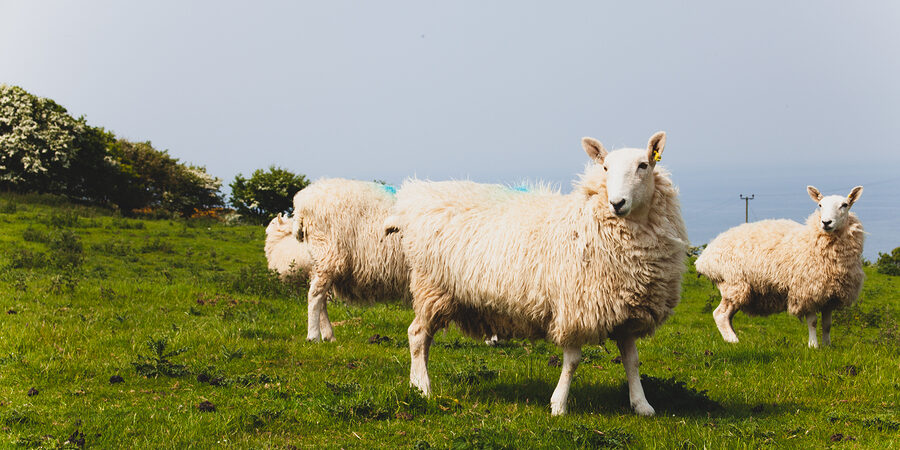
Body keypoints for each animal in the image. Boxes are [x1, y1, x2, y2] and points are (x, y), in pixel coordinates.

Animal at [293, 179, 410, 342]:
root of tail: (301, 203)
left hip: (319, 259)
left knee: (321, 297)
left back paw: (328, 336)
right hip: (328, 255)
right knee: (315, 295)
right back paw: (313, 336)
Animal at [384, 132, 688, 416]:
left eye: (643, 165)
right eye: (605, 168)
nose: (617, 202)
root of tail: (415, 198)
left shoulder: (624, 311)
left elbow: (632, 361)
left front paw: (642, 405)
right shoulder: (574, 306)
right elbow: (573, 361)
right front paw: (559, 405)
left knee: (422, 338)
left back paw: (415, 384)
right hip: (431, 287)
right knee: (418, 335)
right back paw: (423, 388)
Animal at [695, 185, 865, 348]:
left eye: (845, 205)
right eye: (820, 205)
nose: (826, 223)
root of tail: (704, 258)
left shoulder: (829, 295)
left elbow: (827, 325)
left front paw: (827, 346)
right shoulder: (806, 291)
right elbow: (813, 322)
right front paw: (813, 346)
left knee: (728, 316)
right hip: (733, 284)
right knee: (720, 315)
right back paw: (734, 341)